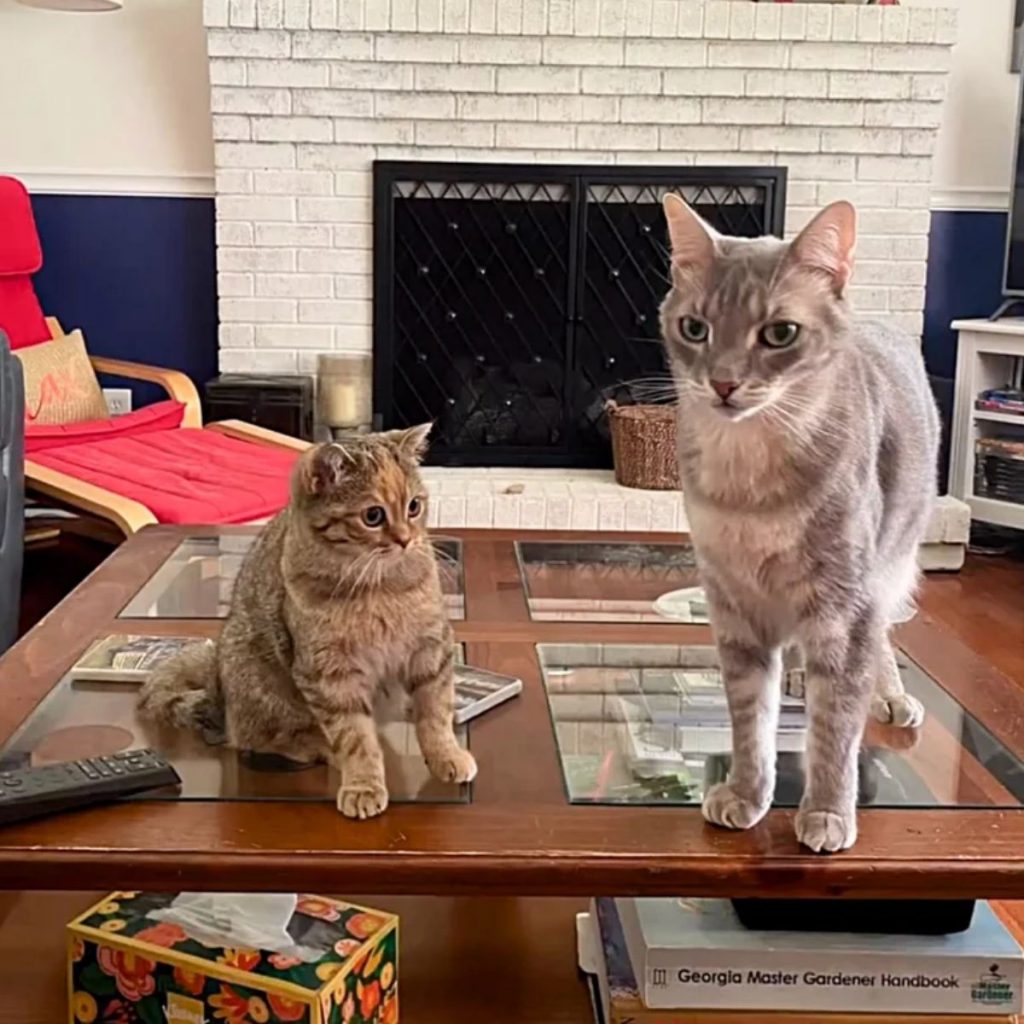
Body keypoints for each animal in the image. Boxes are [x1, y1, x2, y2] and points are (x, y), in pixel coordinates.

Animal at [138, 428, 477, 819]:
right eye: (373, 515)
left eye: (414, 506)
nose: (407, 539)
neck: (378, 587)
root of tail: (216, 684)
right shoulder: (329, 674)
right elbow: (355, 737)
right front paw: (364, 783)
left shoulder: (430, 648)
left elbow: (435, 713)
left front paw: (446, 755)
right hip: (258, 682)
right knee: (268, 739)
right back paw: (319, 746)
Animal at [659, 195, 937, 851]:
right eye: (694, 328)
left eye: (779, 333)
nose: (723, 382)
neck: (751, 487)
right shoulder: (733, 607)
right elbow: (749, 717)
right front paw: (746, 793)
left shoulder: (844, 606)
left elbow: (834, 723)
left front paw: (828, 812)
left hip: (887, 568)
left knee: (881, 639)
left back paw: (893, 697)